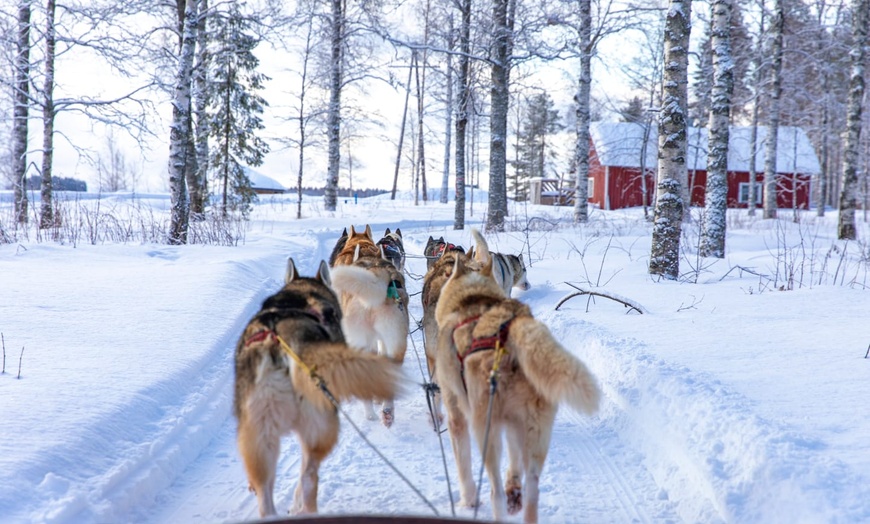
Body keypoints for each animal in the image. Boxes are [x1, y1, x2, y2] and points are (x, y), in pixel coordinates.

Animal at [436, 229, 600, 524]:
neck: (472, 299)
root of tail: (514, 337)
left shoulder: (457, 413)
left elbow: (463, 466)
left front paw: (467, 500)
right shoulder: (513, 424)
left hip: (485, 429)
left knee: (495, 490)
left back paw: (498, 503)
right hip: (534, 432)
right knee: (531, 490)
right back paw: (517, 497)